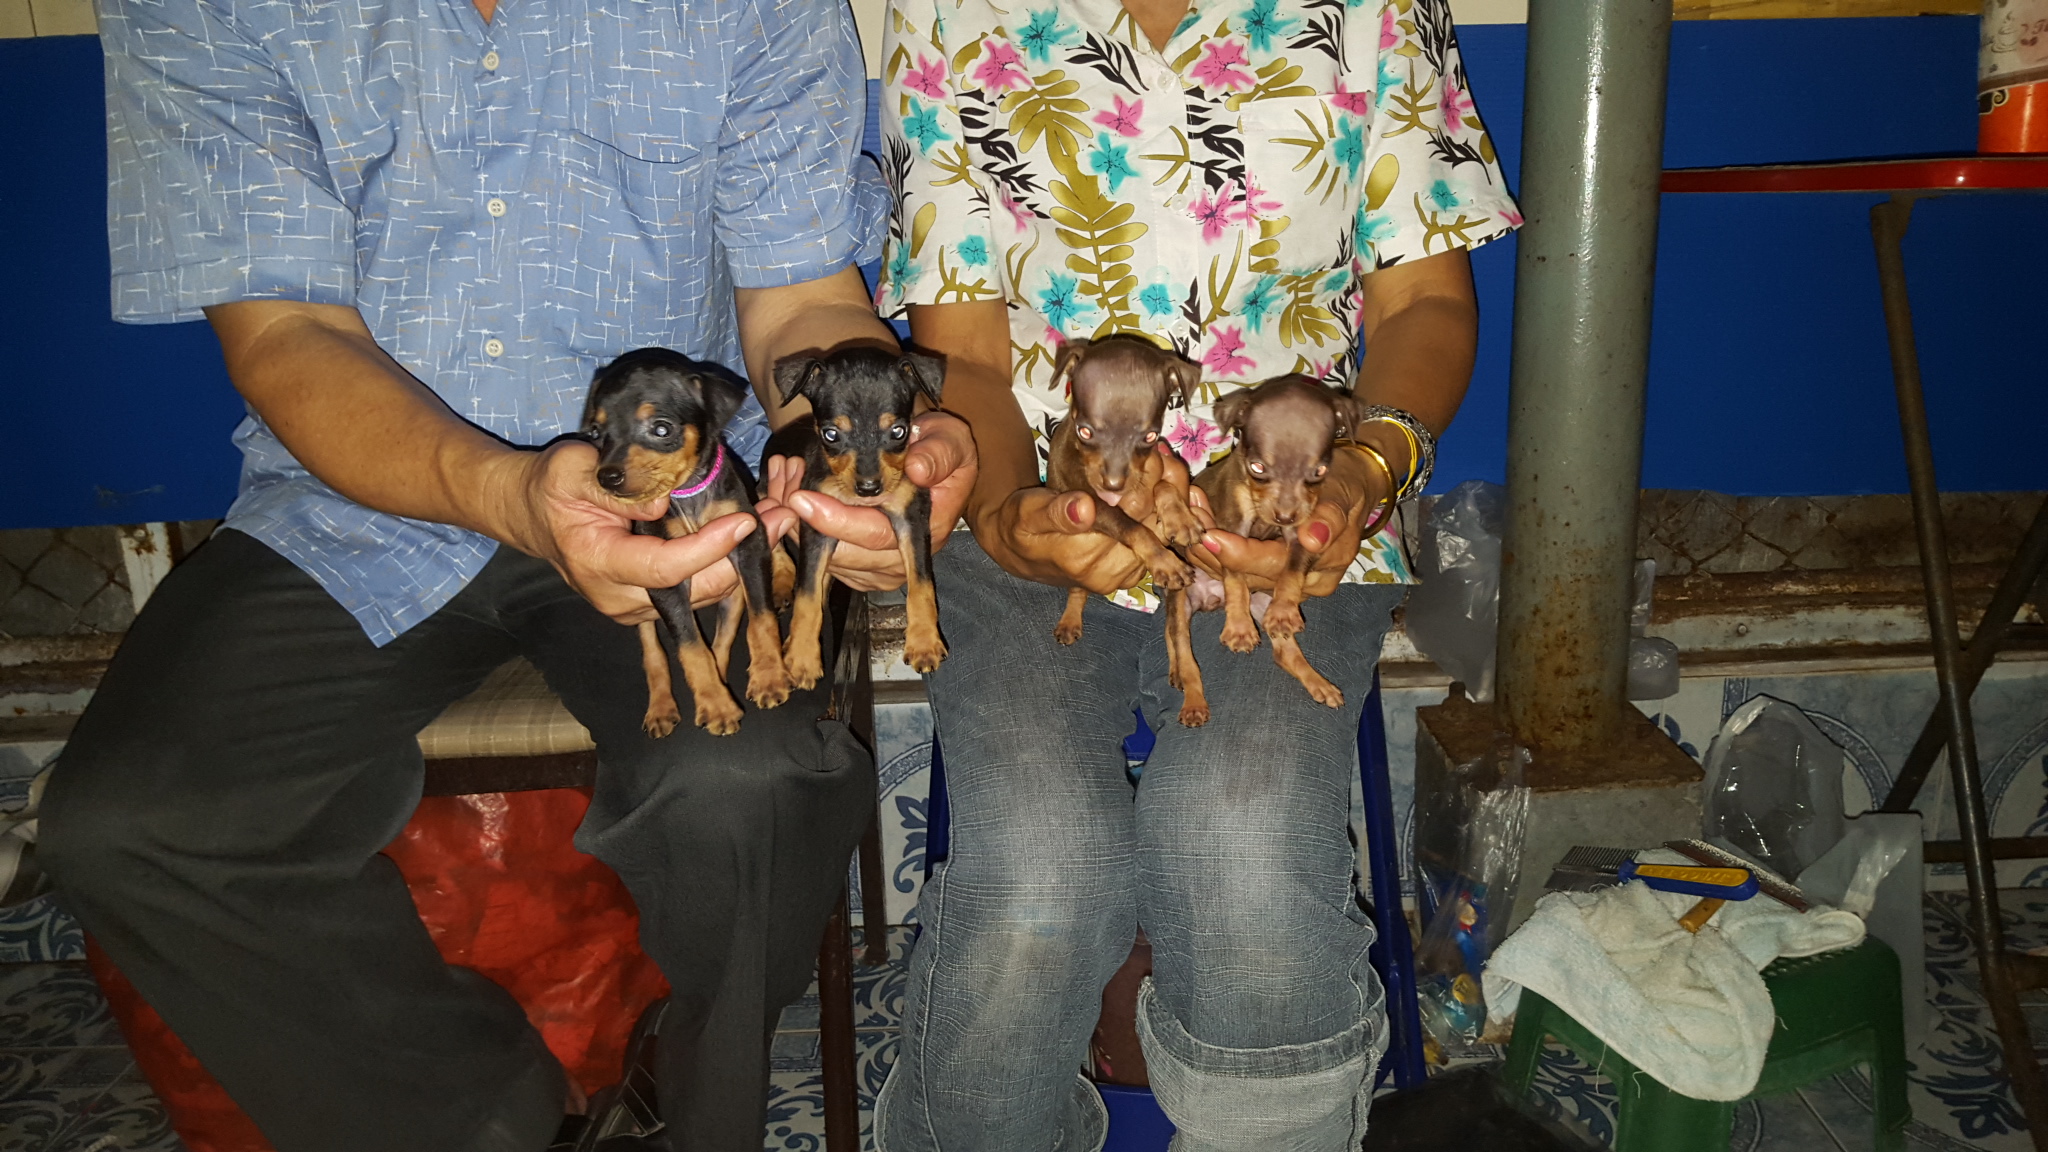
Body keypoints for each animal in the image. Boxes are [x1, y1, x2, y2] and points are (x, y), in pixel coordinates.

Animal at [581, 348, 794, 737]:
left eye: (661, 429)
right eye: (596, 432)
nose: (608, 477)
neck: (688, 495)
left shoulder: (747, 540)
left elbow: (760, 617)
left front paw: (769, 676)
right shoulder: (663, 579)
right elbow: (691, 646)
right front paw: (716, 704)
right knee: (653, 649)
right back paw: (662, 707)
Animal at [774, 346, 948, 687]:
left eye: (898, 431)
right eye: (831, 434)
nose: (869, 488)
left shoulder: (913, 517)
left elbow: (921, 581)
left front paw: (924, 642)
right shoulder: (815, 523)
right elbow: (807, 594)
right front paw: (802, 658)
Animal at [1043, 335, 1206, 644]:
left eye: (1151, 436)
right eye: (1084, 432)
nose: (1113, 485)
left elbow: (1164, 485)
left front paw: (1180, 519)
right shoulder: (1093, 506)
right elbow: (1133, 527)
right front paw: (1165, 561)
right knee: (1078, 589)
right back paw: (1070, 620)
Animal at [1168, 374, 1364, 724]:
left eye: (1319, 472)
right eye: (1257, 467)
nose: (1284, 516)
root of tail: (1211, 601)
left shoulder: (1302, 533)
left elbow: (1293, 569)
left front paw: (1285, 609)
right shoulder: (1230, 529)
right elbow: (1234, 575)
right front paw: (1239, 628)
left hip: (1262, 602)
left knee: (1285, 654)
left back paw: (1319, 683)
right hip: (1181, 600)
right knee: (1181, 647)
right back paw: (1191, 699)